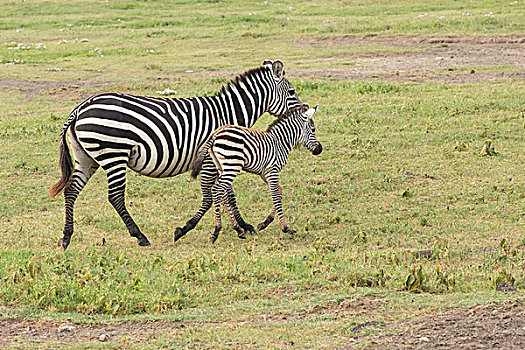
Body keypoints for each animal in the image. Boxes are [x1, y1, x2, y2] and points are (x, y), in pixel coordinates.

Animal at [50, 61, 302, 250]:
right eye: (291, 92)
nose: (304, 109)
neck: (227, 113)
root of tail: (80, 107)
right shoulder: (215, 159)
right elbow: (219, 194)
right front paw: (236, 226)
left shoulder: (224, 159)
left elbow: (225, 193)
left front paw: (241, 226)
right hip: (113, 154)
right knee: (115, 197)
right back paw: (139, 235)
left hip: (87, 158)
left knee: (71, 191)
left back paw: (66, 237)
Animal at [184, 102, 324, 242]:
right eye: (313, 130)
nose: (319, 150)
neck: (280, 142)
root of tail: (215, 134)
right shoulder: (272, 171)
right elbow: (275, 195)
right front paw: (285, 228)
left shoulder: (264, 174)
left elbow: (279, 192)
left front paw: (265, 223)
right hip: (232, 166)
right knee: (217, 190)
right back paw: (217, 230)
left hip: (221, 167)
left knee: (222, 192)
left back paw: (238, 230)